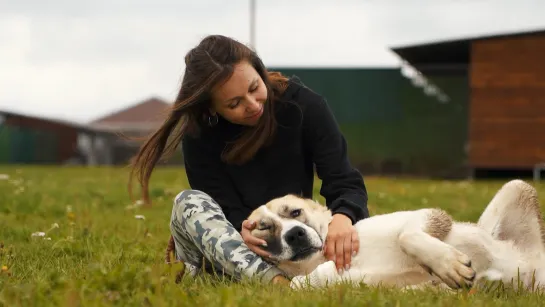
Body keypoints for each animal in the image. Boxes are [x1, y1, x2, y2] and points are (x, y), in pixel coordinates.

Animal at [246, 179, 544, 292]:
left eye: (295, 213)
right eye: (264, 228)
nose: (295, 235)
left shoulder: (430, 215)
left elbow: (407, 235)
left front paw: (448, 266)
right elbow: (303, 282)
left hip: (517, 186)